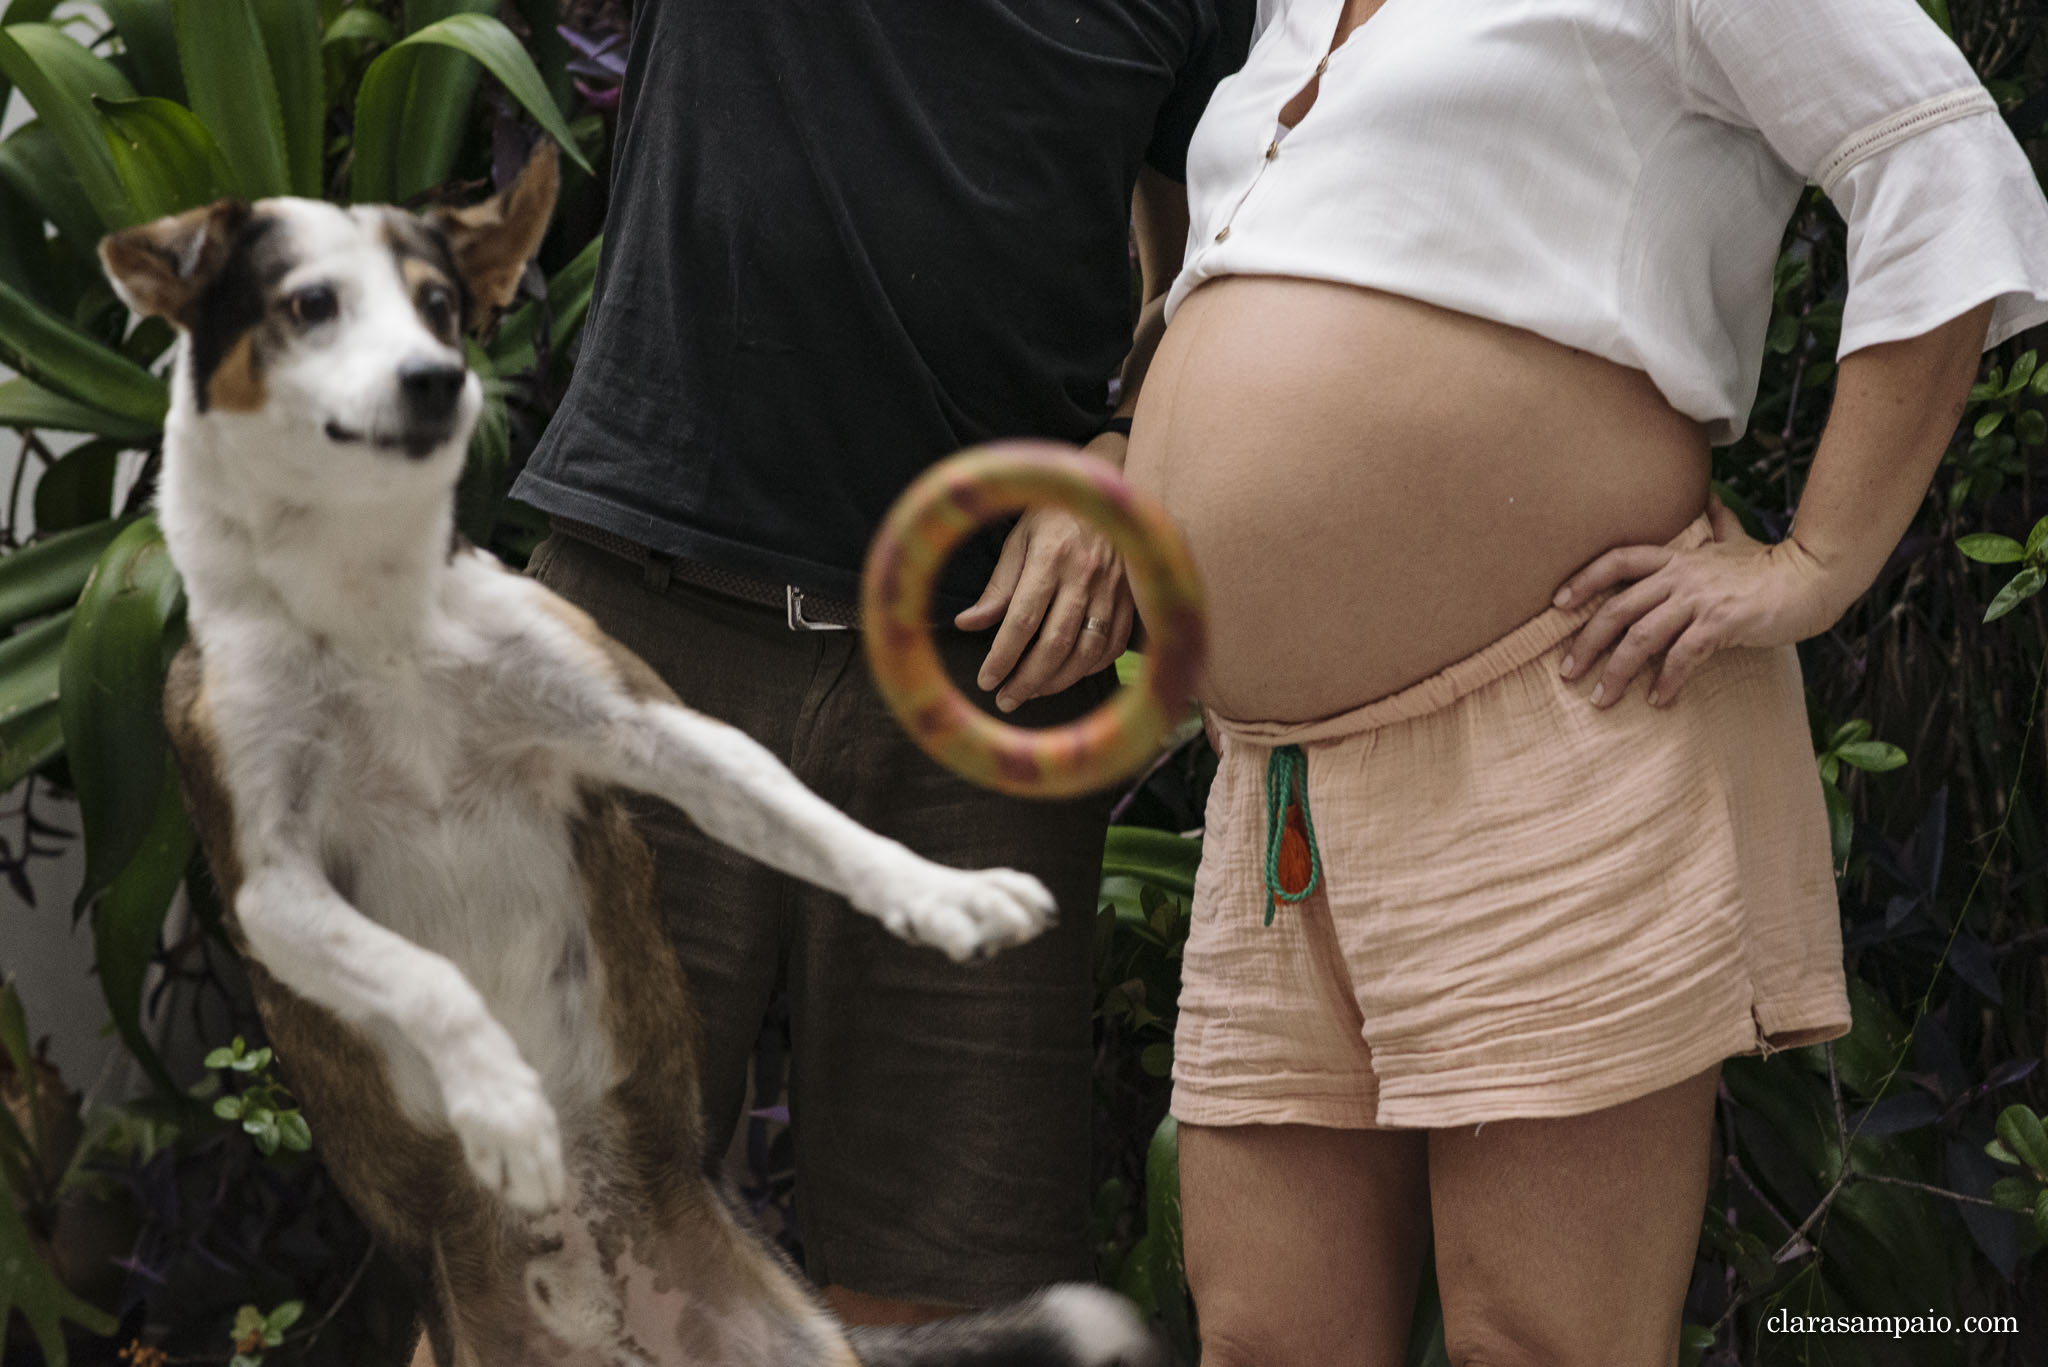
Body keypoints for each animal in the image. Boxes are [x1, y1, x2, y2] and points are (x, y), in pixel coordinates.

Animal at [103, 147, 1163, 1367]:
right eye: (309, 305)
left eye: (439, 304)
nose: (437, 381)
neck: (368, 606)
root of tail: (610, 1307)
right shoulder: (269, 886)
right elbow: (424, 975)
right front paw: (503, 1104)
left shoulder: (648, 726)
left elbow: (824, 826)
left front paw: (945, 894)